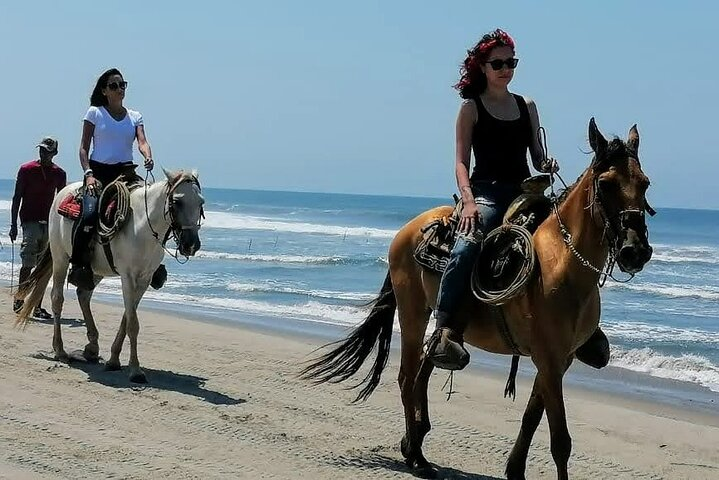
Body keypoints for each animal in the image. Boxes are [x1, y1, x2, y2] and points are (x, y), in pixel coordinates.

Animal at [15, 169, 205, 382]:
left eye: (201, 202)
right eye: (177, 202)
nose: (191, 245)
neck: (142, 226)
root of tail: (63, 192)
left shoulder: (144, 279)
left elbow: (127, 318)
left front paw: (114, 360)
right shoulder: (128, 276)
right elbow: (133, 324)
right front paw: (136, 370)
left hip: (97, 269)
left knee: (83, 295)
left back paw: (92, 347)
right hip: (60, 257)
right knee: (57, 299)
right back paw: (60, 350)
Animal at [300, 117, 656, 480]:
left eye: (645, 184)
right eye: (606, 184)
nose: (635, 251)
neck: (560, 262)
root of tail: (409, 228)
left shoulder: (560, 360)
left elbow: (531, 418)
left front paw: (514, 470)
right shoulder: (549, 359)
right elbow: (560, 440)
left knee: (423, 370)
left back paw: (415, 447)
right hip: (413, 312)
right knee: (406, 377)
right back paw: (417, 456)